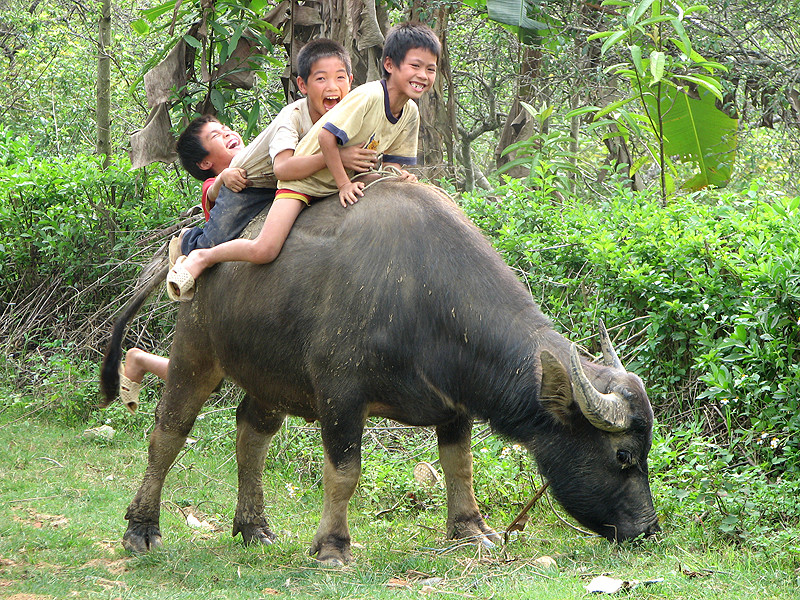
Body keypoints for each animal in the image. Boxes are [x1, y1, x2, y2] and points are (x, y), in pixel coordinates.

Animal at [100, 179, 660, 564]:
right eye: (624, 455)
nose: (649, 529)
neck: (424, 293)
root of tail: (189, 240)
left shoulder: (455, 405)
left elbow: (459, 465)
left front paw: (471, 529)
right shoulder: (340, 395)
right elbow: (344, 472)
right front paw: (332, 546)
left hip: (271, 379)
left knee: (251, 434)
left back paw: (253, 527)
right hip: (196, 351)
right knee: (168, 432)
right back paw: (141, 527)